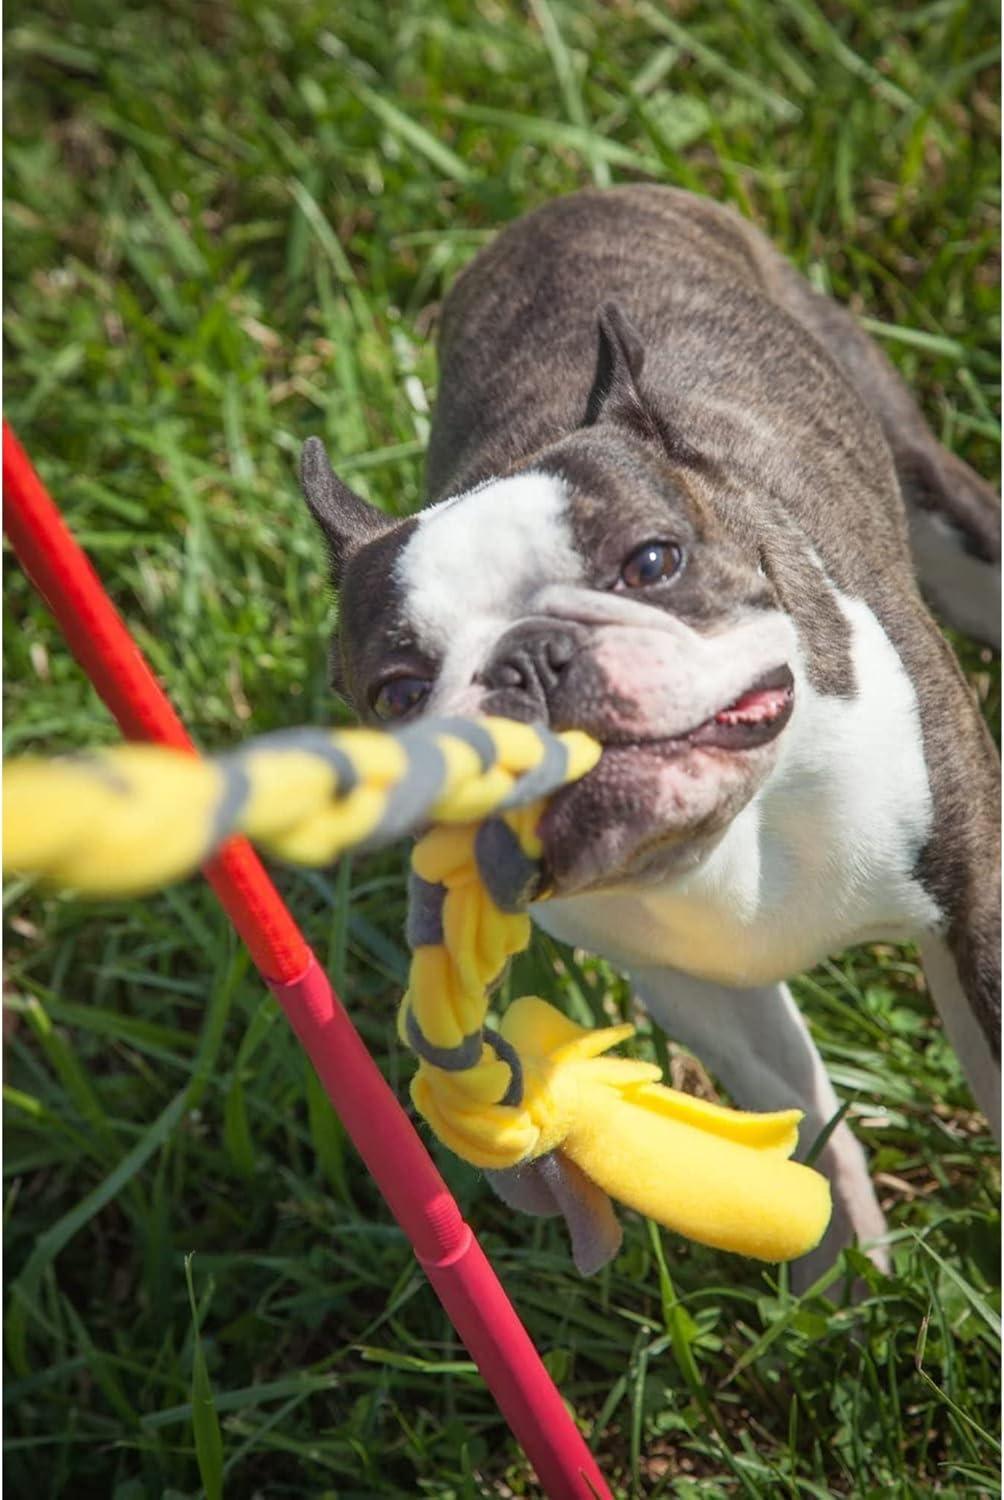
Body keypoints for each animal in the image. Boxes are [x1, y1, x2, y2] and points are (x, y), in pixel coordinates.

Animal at [294, 187, 996, 1284]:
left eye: (653, 563)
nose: (529, 659)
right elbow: (802, 1114)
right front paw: (839, 1279)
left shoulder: (974, 905)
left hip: (933, 497)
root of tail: (569, 202)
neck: (734, 822)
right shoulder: (697, 990)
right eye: (398, 692)